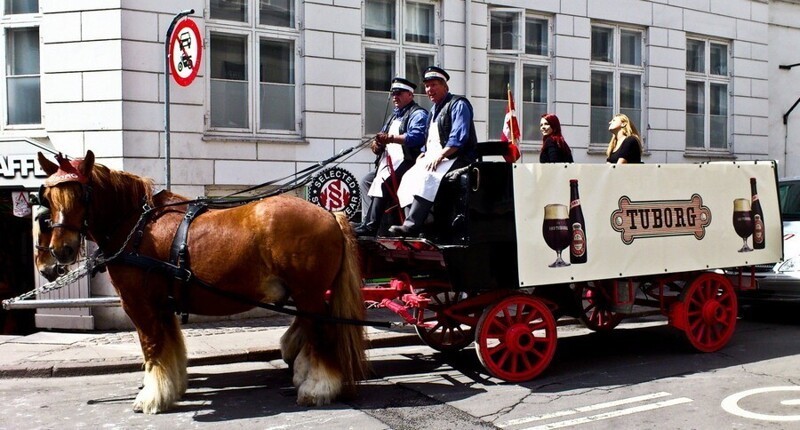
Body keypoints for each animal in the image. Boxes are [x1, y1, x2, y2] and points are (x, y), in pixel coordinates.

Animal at [39, 150, 368, 414]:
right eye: (49, 199)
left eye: (82, 195)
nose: (61, 251)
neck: (138, 227)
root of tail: (330, 214)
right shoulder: (161, 304)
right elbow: (169, 347)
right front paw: (171, 388)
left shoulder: (139, 304)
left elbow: (152, 348)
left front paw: (151, 398)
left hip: (309, 293)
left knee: (322, 334)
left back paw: (318, 388)